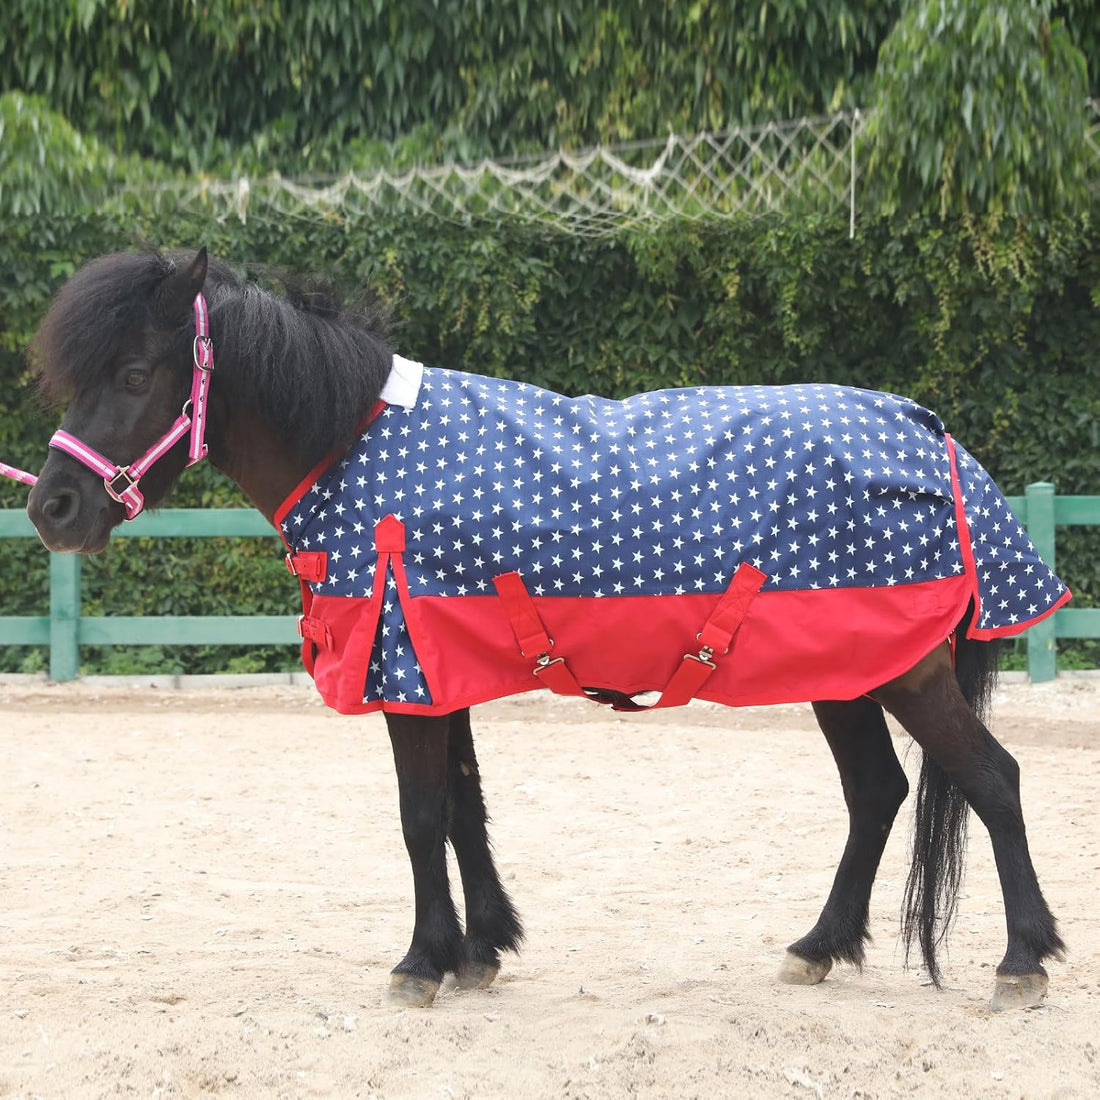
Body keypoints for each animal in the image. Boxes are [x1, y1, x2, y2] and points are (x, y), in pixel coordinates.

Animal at [23, 247, 1068, 1012]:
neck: (353, 444)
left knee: (993, 780)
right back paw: (819, 946)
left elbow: (420, 816)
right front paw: (480, 950)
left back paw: (1022, 961)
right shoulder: (439, 670)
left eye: (133, 372)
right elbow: (464, 810)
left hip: (904, 673)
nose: (53, 507)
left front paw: (421, 963)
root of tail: (930, 433)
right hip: (845, 670)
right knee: (878, 794)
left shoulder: (406, 672)